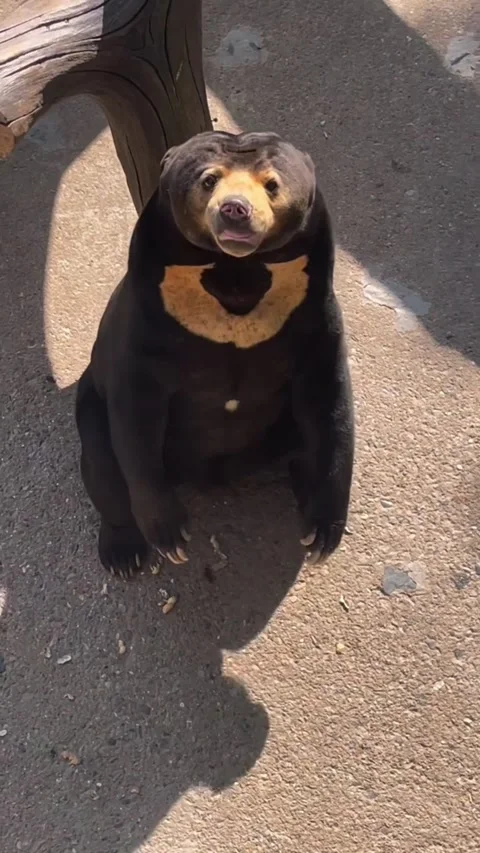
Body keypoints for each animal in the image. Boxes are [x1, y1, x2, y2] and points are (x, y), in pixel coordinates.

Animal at [75, 130, 354, 578]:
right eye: (209, 180)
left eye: (272, 184)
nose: (235, 210)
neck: (236, 271)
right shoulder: (146, 316)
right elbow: (136, 412)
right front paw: (170, 536)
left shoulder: (314, 311)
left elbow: (329, 402)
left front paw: (324, 532)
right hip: (91, 408)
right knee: (103, 466)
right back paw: (123, 552)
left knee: (304, 446)